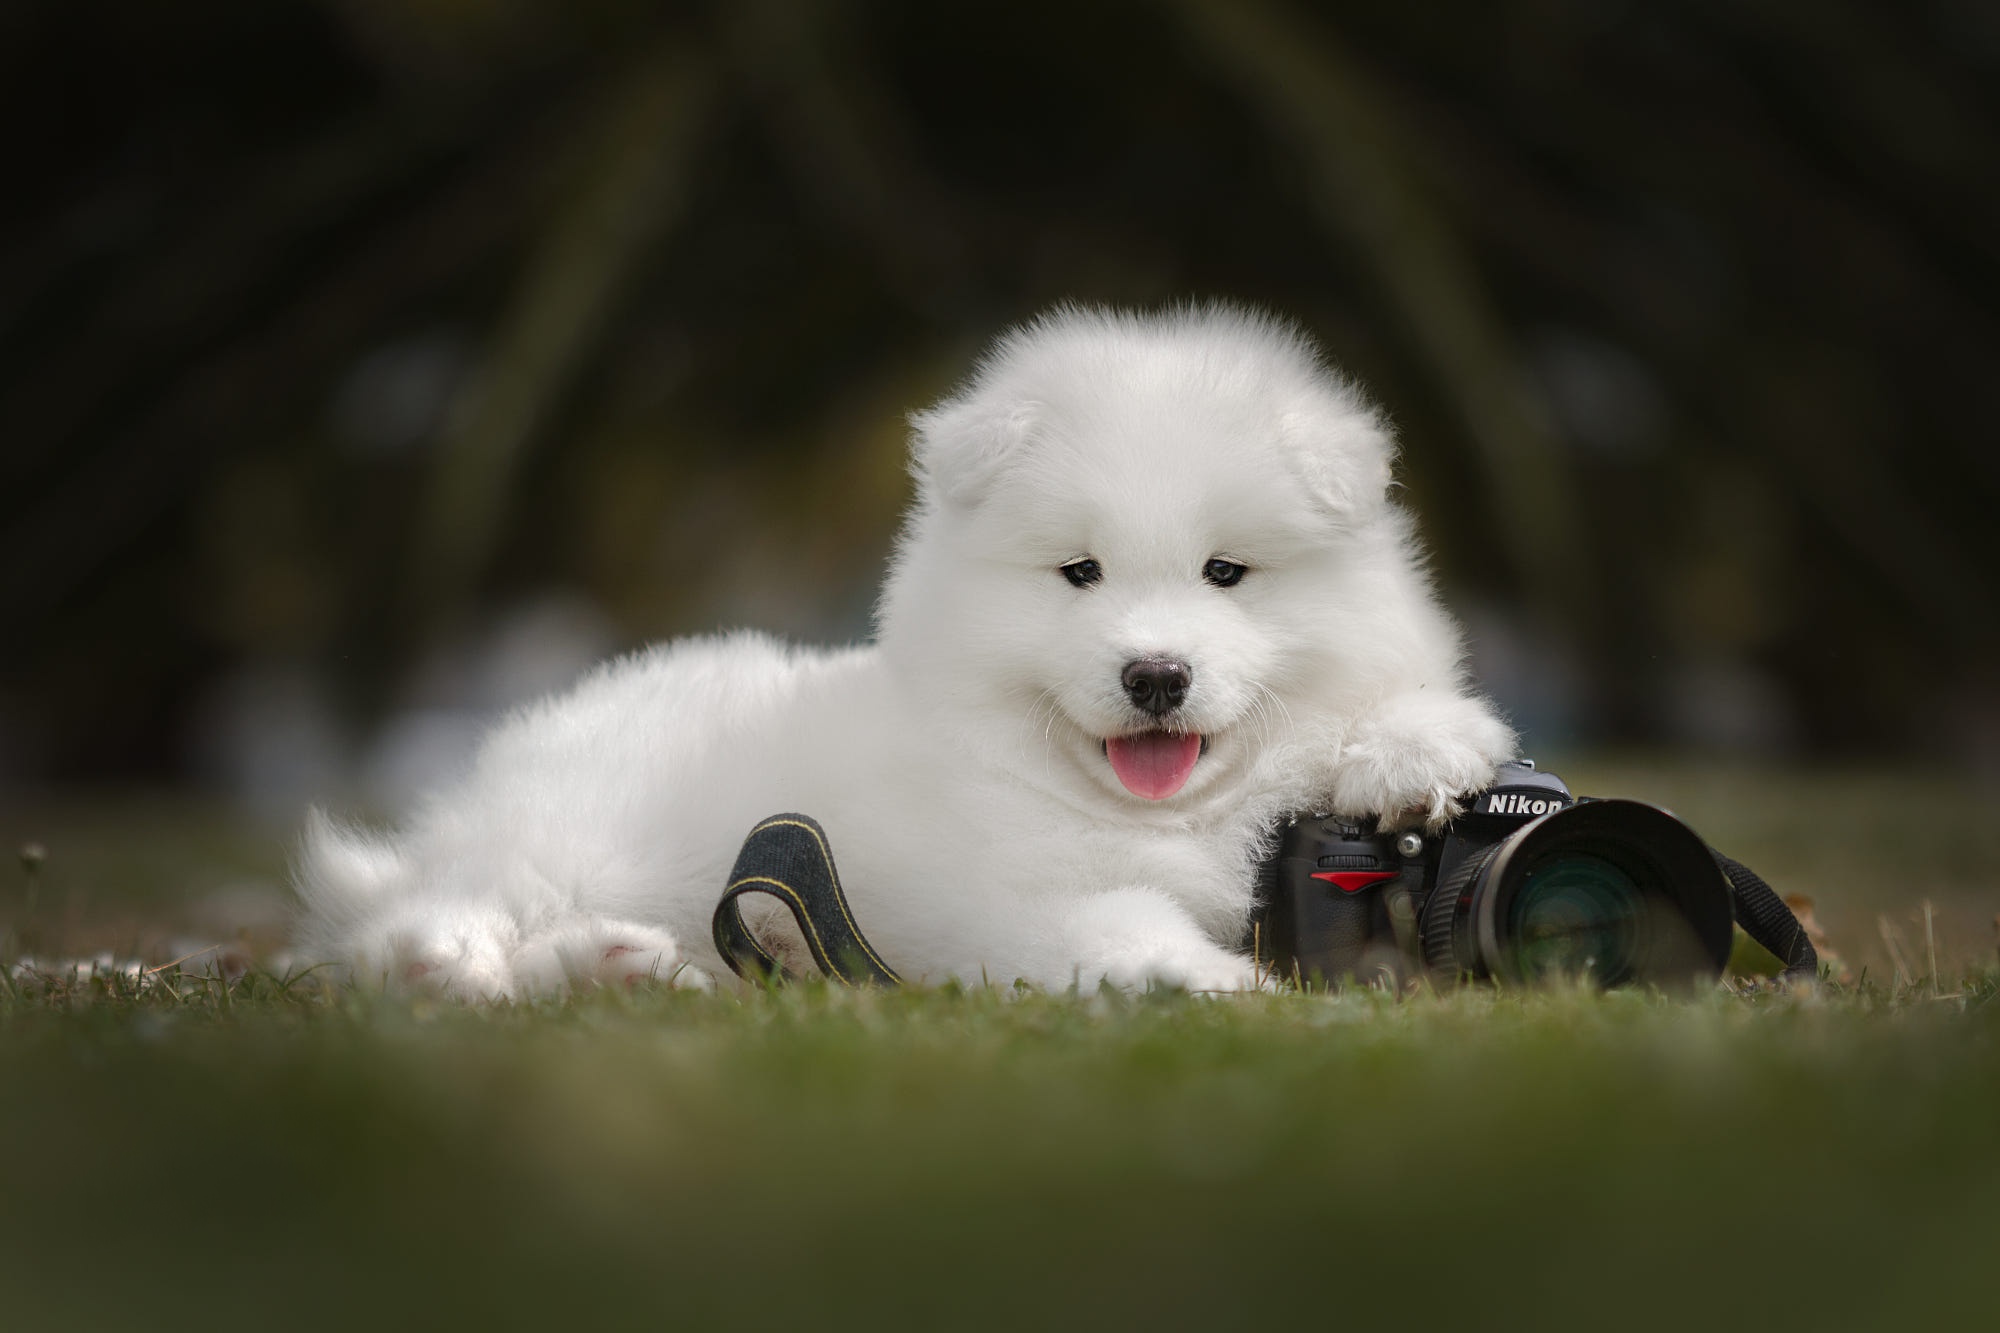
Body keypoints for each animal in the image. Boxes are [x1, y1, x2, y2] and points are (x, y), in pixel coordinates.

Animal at [292, 300, 1512, 984]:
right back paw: (450, 961)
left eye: (1226, 573)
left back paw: (626, 968)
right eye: (1079, 573)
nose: (1156, 675)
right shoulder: (992, 896)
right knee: (430, 915)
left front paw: (1417, 750)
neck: (1155, 812)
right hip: (573, 831)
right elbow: (1111, 922)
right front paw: (1216, 984)